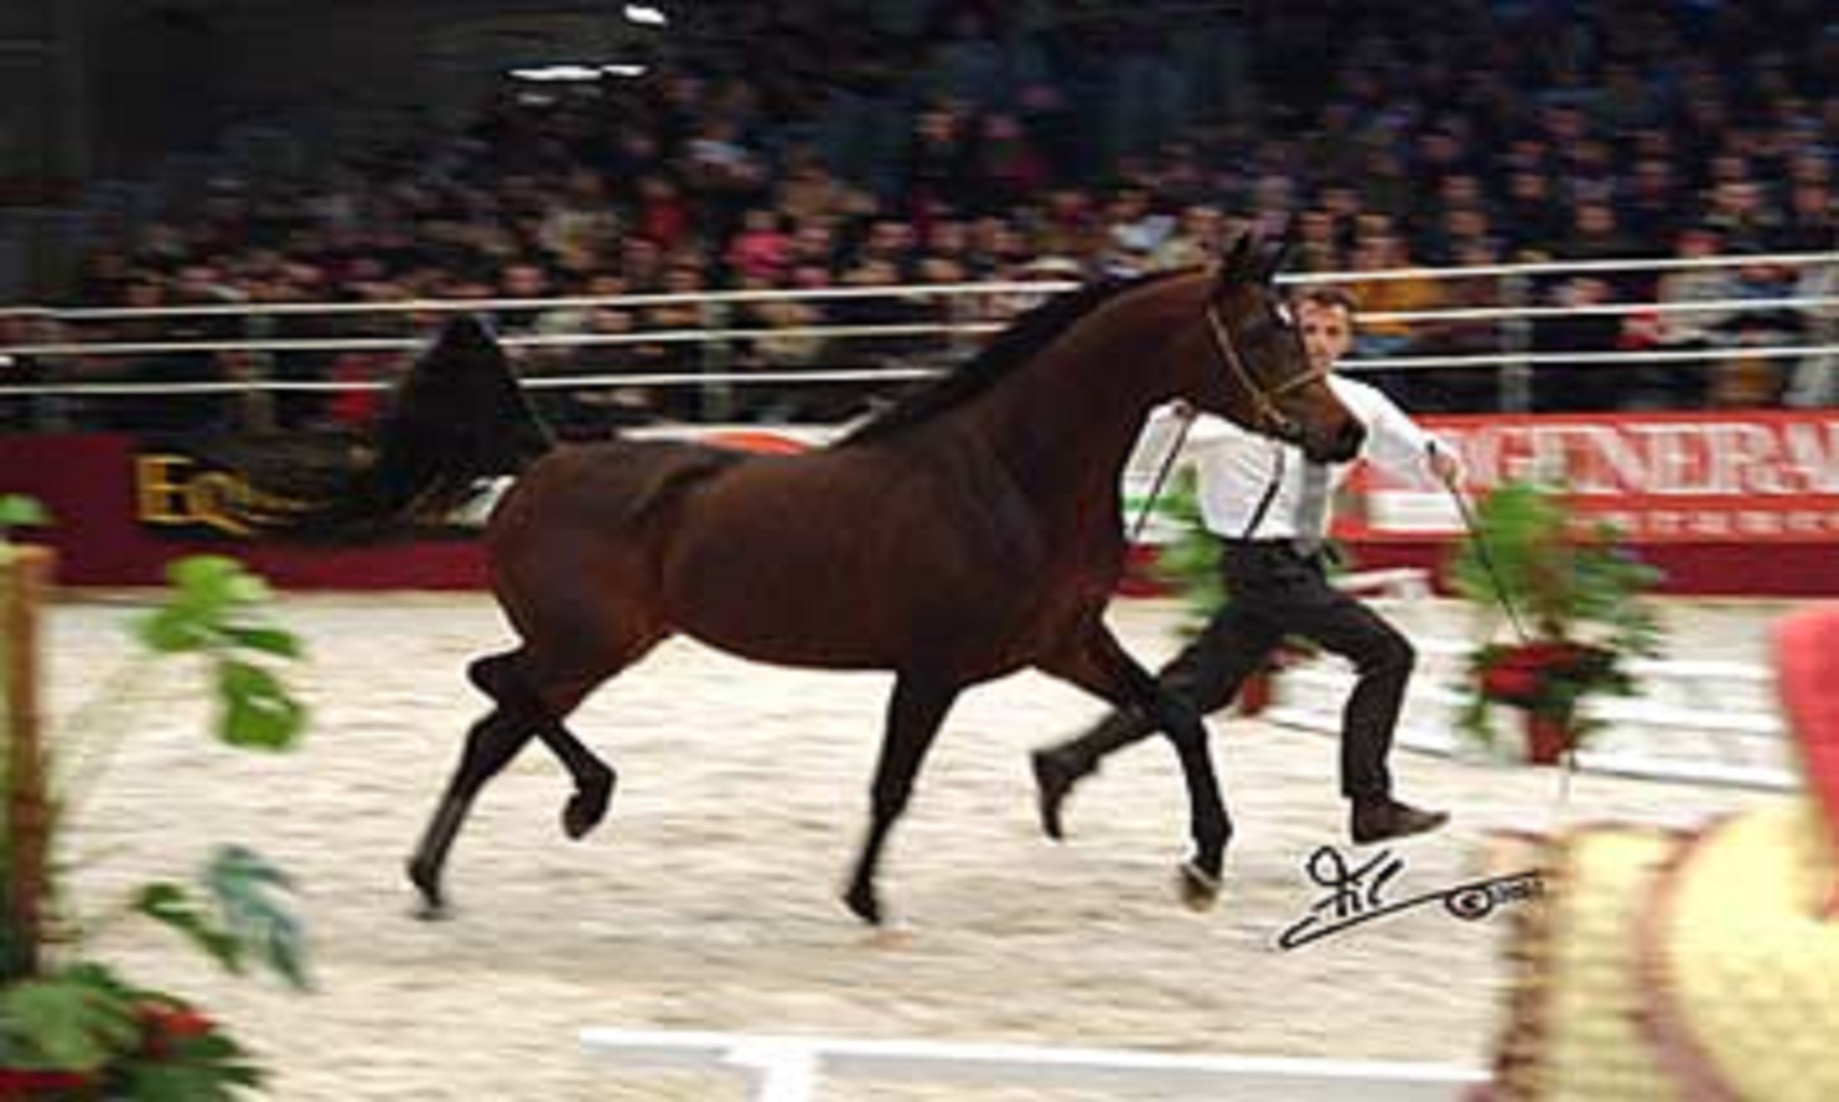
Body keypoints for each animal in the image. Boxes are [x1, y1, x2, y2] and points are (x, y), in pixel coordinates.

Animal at [334, 237, 1368, 927]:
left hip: (594, 649)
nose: (1344, 433)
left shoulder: (1063, 644)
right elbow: (891, 784)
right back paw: (579, 804)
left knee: (490, 727)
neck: (1013, 476)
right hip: (586, 642)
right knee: (496, 687)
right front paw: (865, 897)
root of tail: (541, 462)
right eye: (1260, 333)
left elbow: (1177, 715)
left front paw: (1204, 862)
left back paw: (437, 878)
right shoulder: (934, 667)